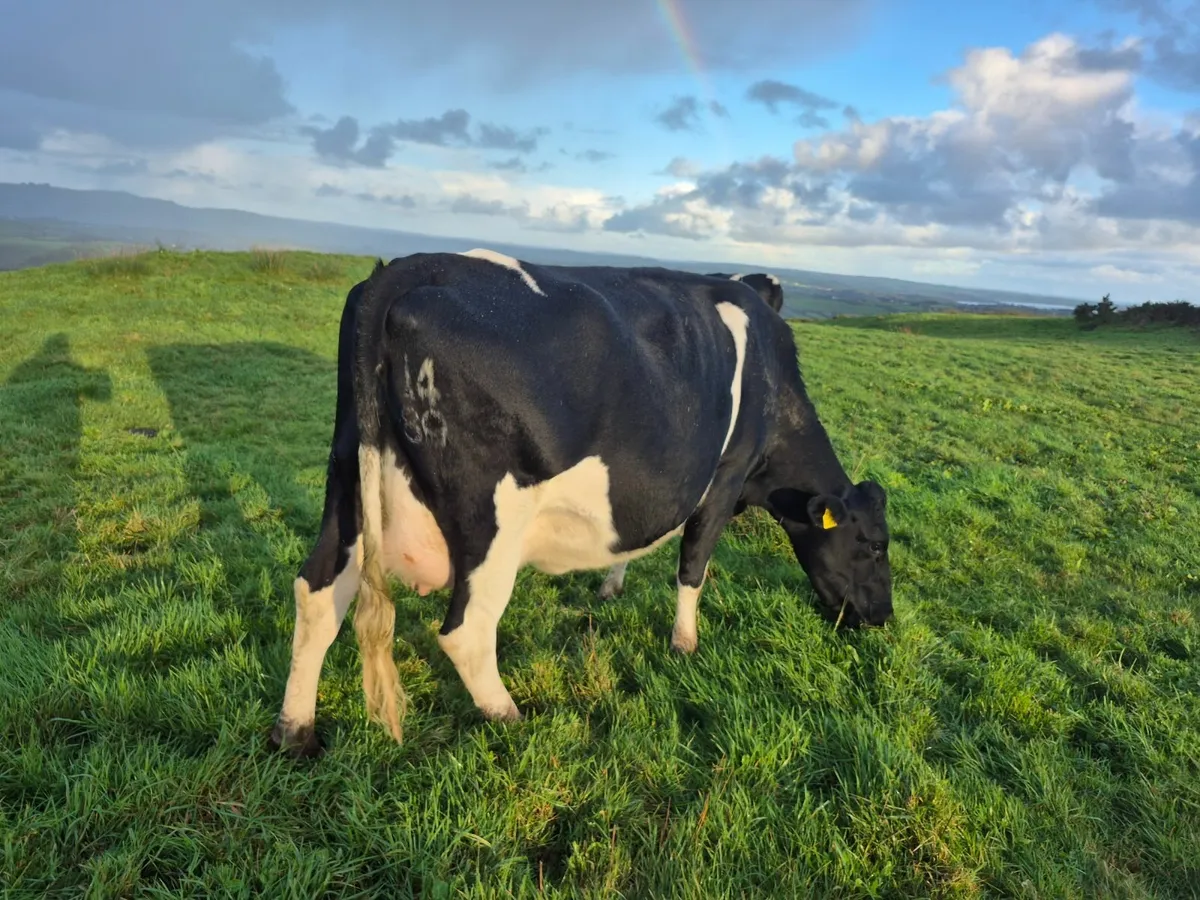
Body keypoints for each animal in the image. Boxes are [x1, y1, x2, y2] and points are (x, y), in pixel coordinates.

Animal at [270, 249, 891, 758]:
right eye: (874, 545)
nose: (882, 616)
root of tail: (405, 270)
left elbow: (637, 541)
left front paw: (612, 585)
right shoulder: (726, 478)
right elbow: (693, 567)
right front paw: (685, 645)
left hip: (347, 479)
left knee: (317, 593)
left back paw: (296, 731)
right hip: (493, 518)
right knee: (467, 630)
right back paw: (512, 716)